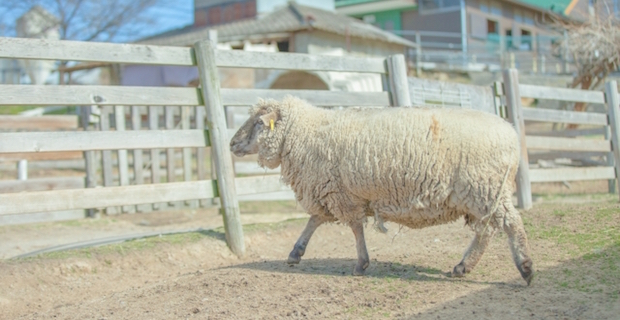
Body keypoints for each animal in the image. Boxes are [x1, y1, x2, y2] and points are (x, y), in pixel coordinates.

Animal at [230, 95, 536, 284]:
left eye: (258, 122)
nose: (232, 143)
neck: (306, 134)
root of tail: (510, 132)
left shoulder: (341, 193)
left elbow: (353, 228)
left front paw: (361, 264)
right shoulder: (332, 189)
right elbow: (315, 220)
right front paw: (296, 252)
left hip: (483, 188)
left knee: (510, 225)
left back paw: (526, 268)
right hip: (482, 194)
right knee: (487, 231)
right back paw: (464, 267)